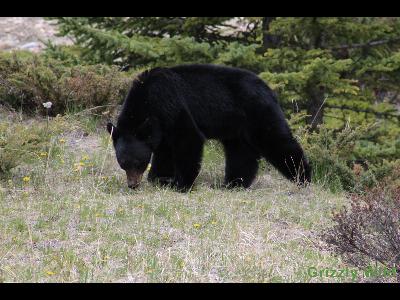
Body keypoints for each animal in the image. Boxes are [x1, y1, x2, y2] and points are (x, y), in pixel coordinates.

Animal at [107, 64, 312, 191]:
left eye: (137, 163)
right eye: (123, 163)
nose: (132, 185)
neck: (147, 98)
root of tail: (268, 88)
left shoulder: (172, 105)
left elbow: (188, 140)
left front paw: (181, 184)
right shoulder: (160, 126)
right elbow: (164, 151)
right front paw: (160, 179)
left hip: (258, 112)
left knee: (277, 141)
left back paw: (303, 178)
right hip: (237, 127)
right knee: (241, 153)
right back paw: (233, 183)